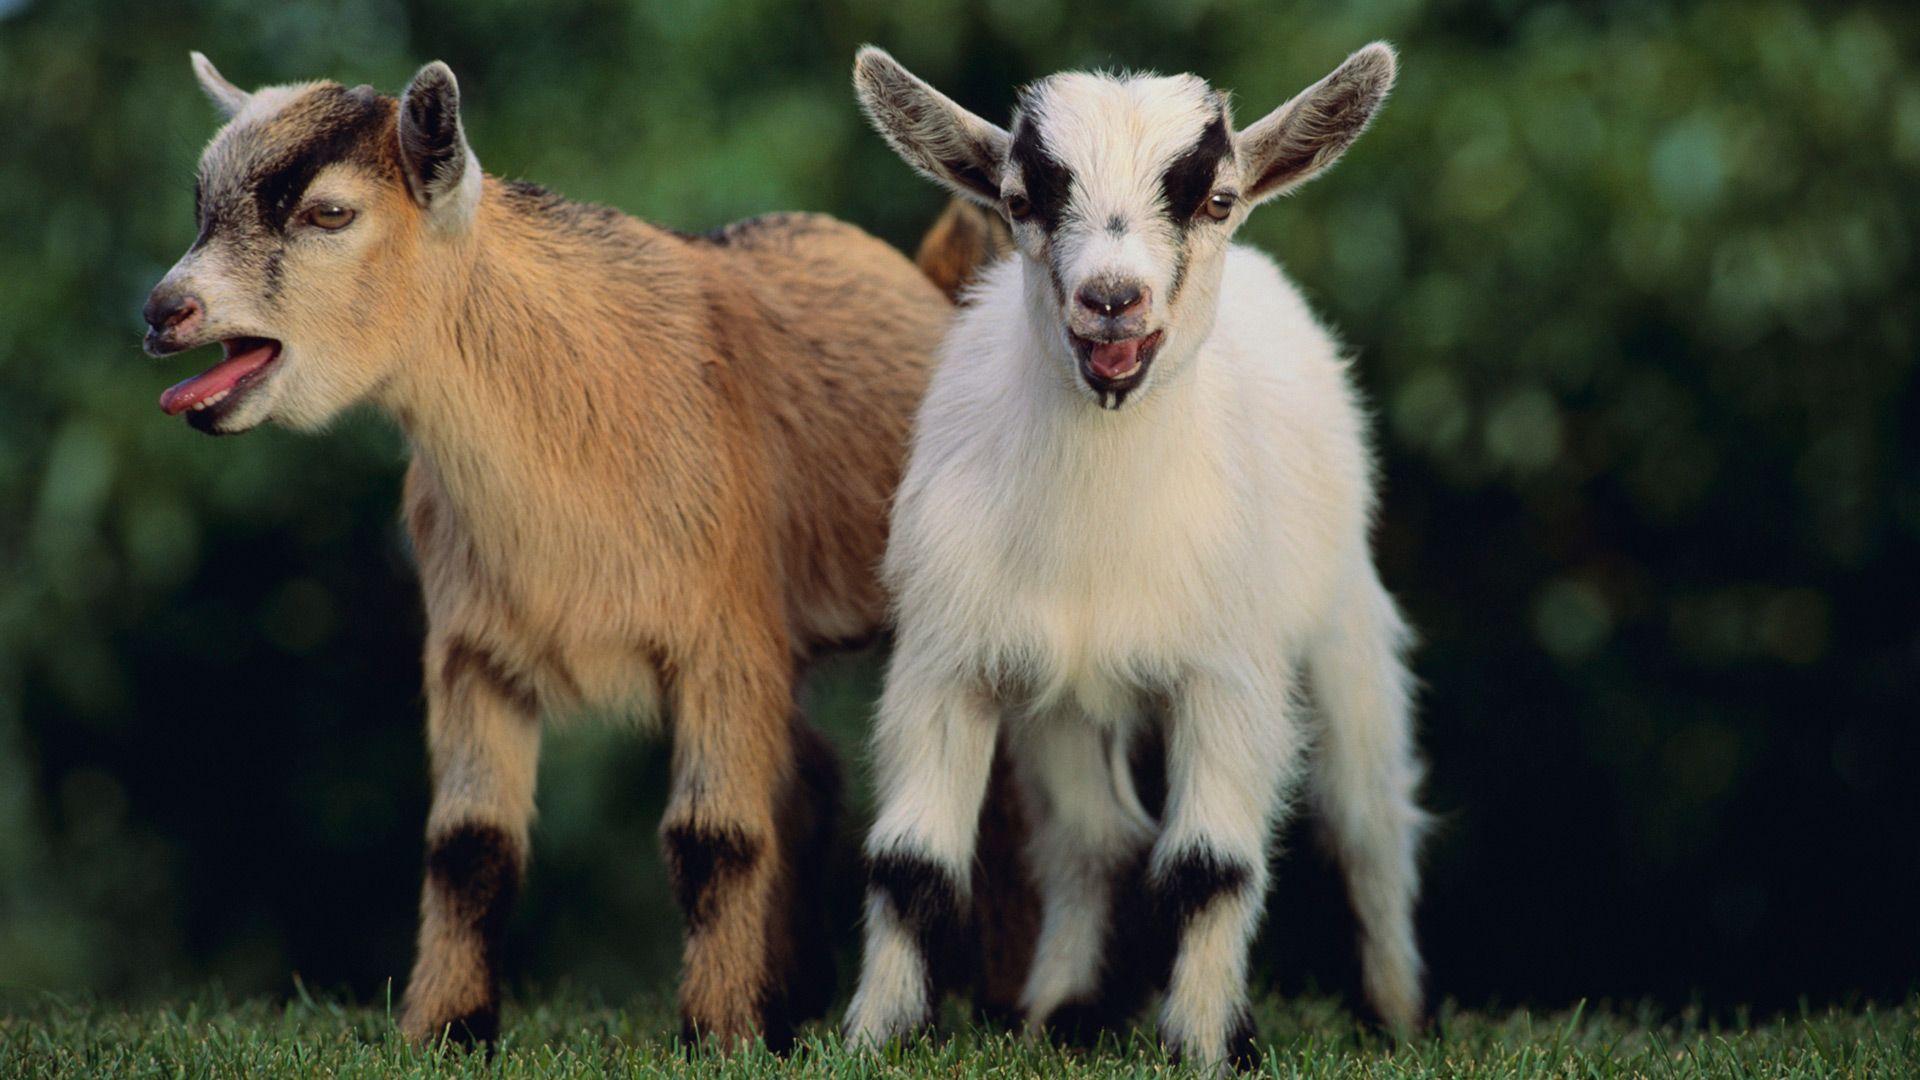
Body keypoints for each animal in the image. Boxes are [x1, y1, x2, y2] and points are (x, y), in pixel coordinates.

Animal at [141, 54, 999, 1050]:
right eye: (201, 200)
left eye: (329, 214)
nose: (166, 311)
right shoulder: (472, 651)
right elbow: (469, 847)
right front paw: (444, 1028)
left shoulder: (726, 636)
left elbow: (715, 838)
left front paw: (714, 1036)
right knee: (812, 780)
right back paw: (796, 996)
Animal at [843, 44, 1428, 1067]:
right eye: (1020, 199)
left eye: (1218, 199)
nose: (1112, 298)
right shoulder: (947, 660)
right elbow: (911, 863)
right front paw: (872, 1037)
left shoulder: (1227, 675)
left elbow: (1210, 866)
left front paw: (1203, 1046)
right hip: (1066, 705)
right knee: (1094, 836)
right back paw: (1057, 1011)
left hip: (1345, 620)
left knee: (1369, 818)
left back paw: (1395, 1013)